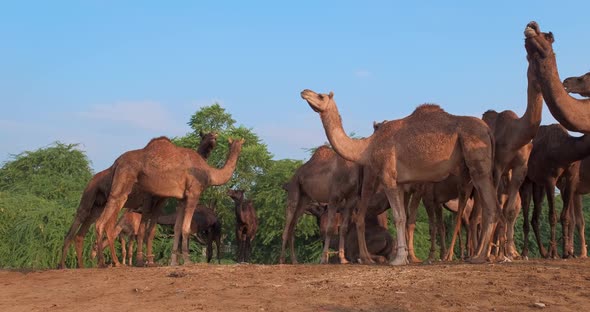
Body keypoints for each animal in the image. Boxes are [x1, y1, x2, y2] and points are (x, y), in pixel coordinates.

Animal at [57, 131, 220, 268]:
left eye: (212, 136)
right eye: (204, 136)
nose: (213, 138)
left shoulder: (160, 201)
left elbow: (150, 231)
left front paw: (150, 261)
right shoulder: (148, 200)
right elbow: (143, 231)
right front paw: (144, 261)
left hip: (98, 206)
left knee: (82, 231)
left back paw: (78, 265)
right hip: (91, 199)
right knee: (86, 223)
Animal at [92, 135, 240, 268]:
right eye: (205, 135)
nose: (214, 138)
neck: (209, 172)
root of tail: (116, 162)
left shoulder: (182, 199)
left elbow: (177, 228)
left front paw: (173, 262)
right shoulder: (193, 193)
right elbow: (185, 228)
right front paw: (187, 262)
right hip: (123, 183)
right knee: (103, 220)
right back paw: (105, 263)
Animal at [302, 89, 502, 264]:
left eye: (320, 96)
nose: (304, 91)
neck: (367, 147)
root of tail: (488, 131)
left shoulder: (388, 177)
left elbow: (398, 217)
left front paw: (398, 260)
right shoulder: (399, 183)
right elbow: (404, 217)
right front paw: (404, 257)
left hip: (478, 164)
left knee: (491, 206)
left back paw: (479, 257)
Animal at [524, 123, 590, 258]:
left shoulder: (571, 181)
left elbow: (567, 217)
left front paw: (567, 253)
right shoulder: (551, 180)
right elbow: (555, 216)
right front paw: (556, 253)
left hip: (538, 184)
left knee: (535, 215)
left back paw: (544, 252)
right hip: (526, 179)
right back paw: (526, 253)